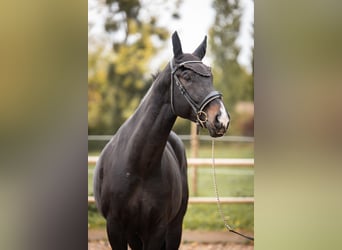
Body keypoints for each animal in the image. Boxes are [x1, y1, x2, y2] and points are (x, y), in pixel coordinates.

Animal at [93, 31, 230, 250]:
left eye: (210, 76)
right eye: (187, 76)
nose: (221, 119)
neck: (138, 166)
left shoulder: (157, 229)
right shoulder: (115, 228)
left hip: (174, 227)